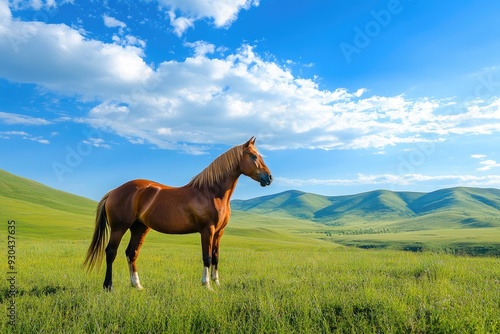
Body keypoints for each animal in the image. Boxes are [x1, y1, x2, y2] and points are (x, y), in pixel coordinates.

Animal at [86, 137, 274, 290]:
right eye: (254, 156)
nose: (269, 178)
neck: (210, 192)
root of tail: (114, 191)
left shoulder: (219, 232)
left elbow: (216, 257)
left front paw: (216, 283)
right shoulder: (207, 230)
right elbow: (207, 257)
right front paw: (207, 285)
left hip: (139, 228)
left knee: (132, 253)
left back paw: (137, 285)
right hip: (119, 228)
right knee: (111, 252)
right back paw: (108, 286)